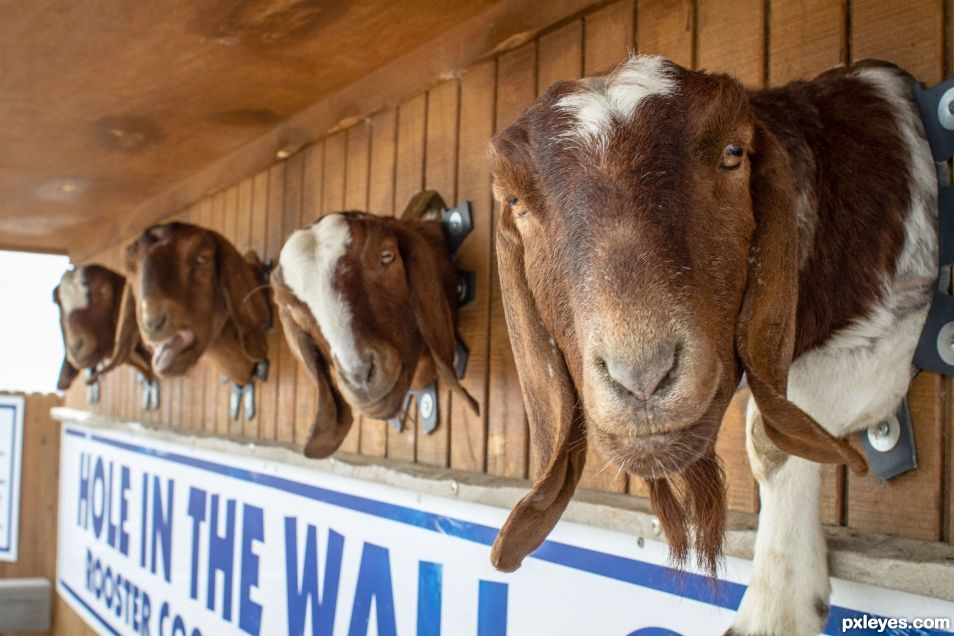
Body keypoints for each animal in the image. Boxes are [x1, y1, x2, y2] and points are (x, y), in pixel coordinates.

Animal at [488, 56, 932, 636]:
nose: (642, 375)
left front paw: (774, 608)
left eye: (733, 153)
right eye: (516, 201)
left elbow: (771, 434)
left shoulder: (902, 317)